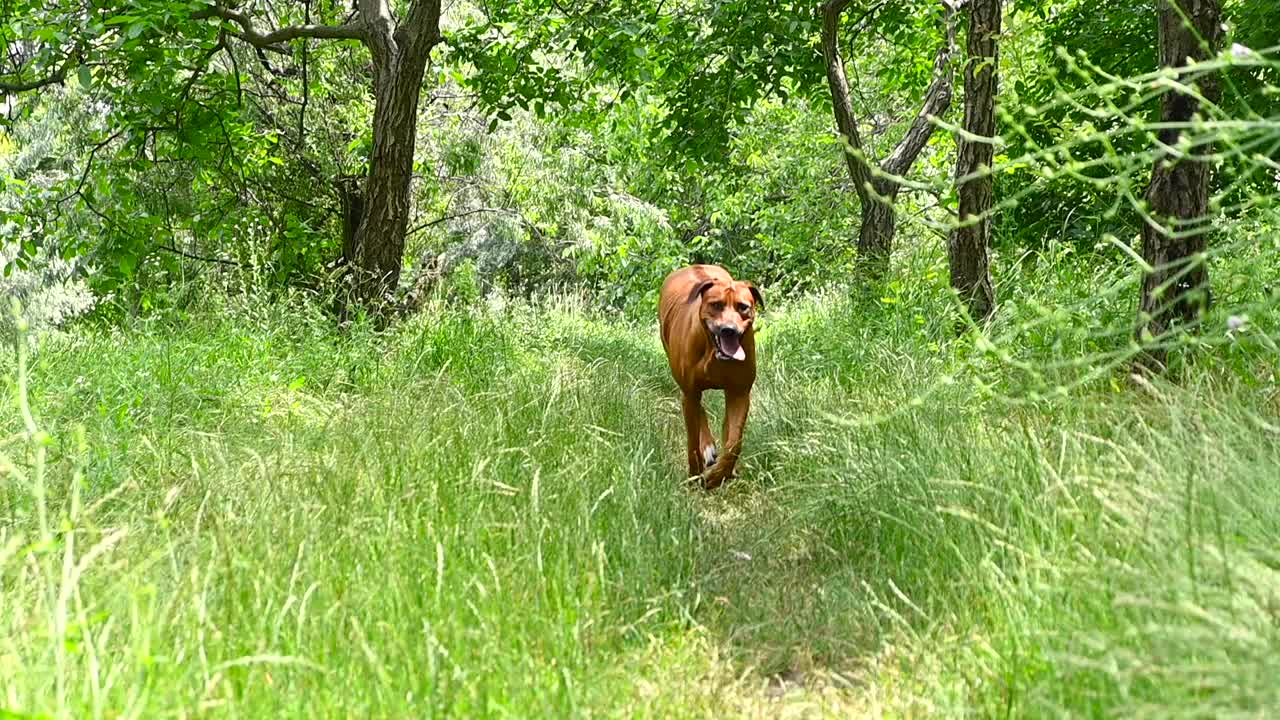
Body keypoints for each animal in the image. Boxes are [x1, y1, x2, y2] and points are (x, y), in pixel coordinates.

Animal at [660, 263, 757, 486]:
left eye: (743, 307)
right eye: (716, 305)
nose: (729, 330)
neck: (715, 353)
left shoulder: (740, 392)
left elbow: (734, 443)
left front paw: (718, 475)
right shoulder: (690, 392)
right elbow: (692, 442)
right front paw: (694, 474)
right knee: (697, 408)